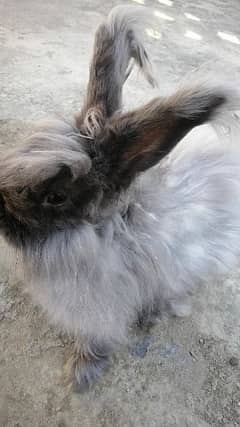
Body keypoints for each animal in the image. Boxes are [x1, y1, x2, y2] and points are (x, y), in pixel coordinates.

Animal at [0, 5, 240, 394]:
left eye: (56, 196)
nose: (2, 218)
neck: (103, 232)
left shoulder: (103, 311)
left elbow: (97, 339)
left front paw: (79, 375)